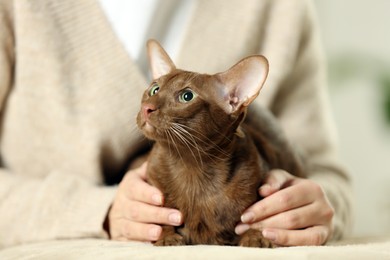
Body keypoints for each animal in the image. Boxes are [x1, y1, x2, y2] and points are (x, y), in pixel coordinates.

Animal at [136, 39, 306, 247]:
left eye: (187, 96)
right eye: (154, 89)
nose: (147, 108)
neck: (193, 167)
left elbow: (255, 220)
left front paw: (256, 237)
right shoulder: (152, 179)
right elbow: (161, 219)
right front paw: (167, 237)